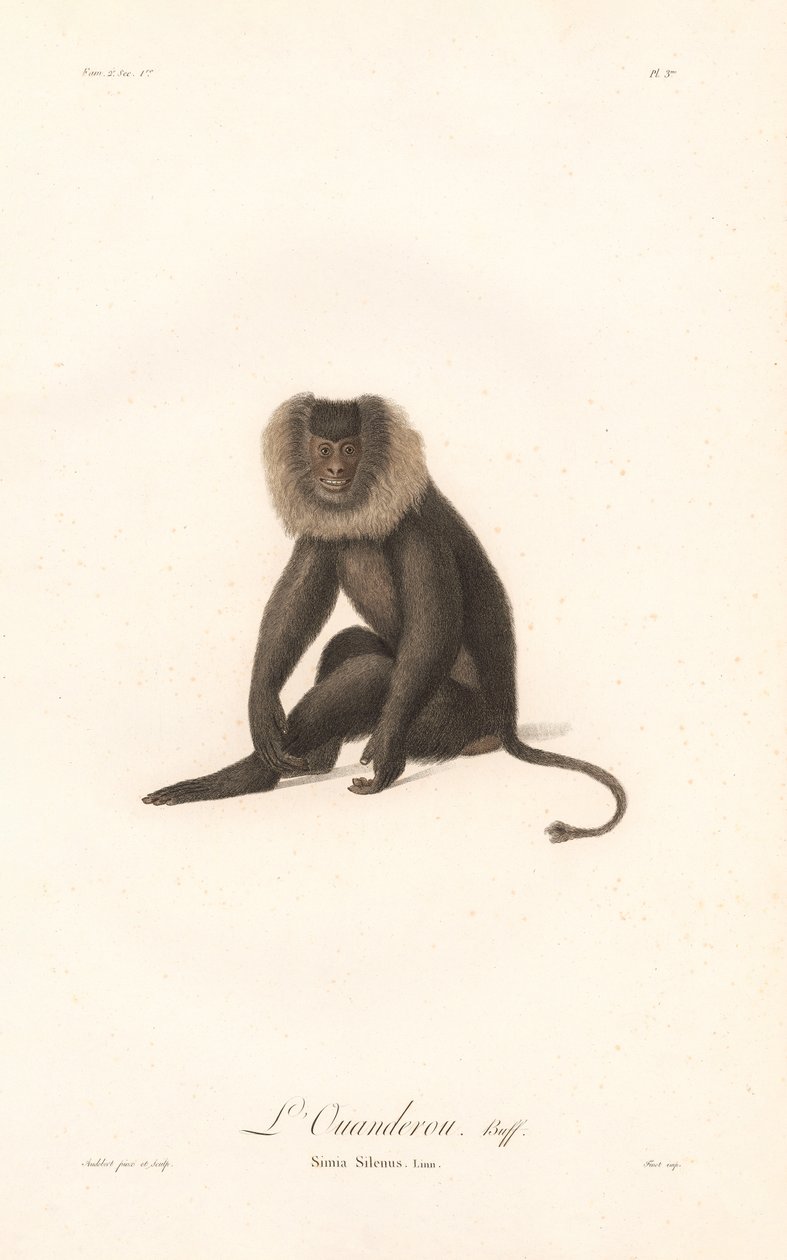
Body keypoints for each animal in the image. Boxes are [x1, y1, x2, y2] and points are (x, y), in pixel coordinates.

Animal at [143, 393, 626, 842]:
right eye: (324, 449)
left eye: (350, 449)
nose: (336, 471)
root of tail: (505, 726)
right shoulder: (325, 524)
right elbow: (295, 601)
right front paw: (261, 707)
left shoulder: (415, 526)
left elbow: (434, 629)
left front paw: (387, 758)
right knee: (349, 641)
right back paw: (311, 761)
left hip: (454, 722)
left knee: (375, 672)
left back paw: (248, 777)